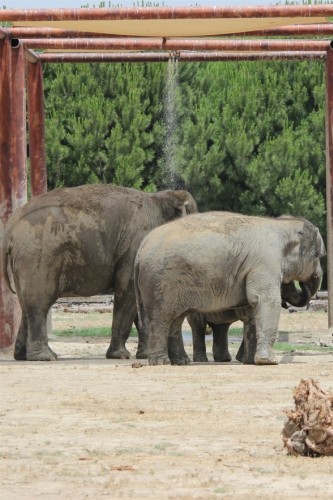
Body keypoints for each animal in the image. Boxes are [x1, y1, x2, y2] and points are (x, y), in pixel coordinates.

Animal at [1, 184, 196, 360]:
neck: (160, 197)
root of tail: (10, 228)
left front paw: (143, 355)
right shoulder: (134, 248)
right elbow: (128, 291)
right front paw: (121, 356)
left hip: (25, 260)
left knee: (25, 304)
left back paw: (22, 356)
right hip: (38, 258)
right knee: (39, 303)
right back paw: (45, 357)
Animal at [135, 209, 324, 366]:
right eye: (320, 255)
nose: (316, 276)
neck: (280, 224)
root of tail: (140, 249)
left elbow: (253, 307)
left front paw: (250, 361)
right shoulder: (265, 262)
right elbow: (265, 301)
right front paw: (268, 362)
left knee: (176, 319)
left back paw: (181, 362)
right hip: (160, 283)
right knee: (162, 318)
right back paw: (161, 362)